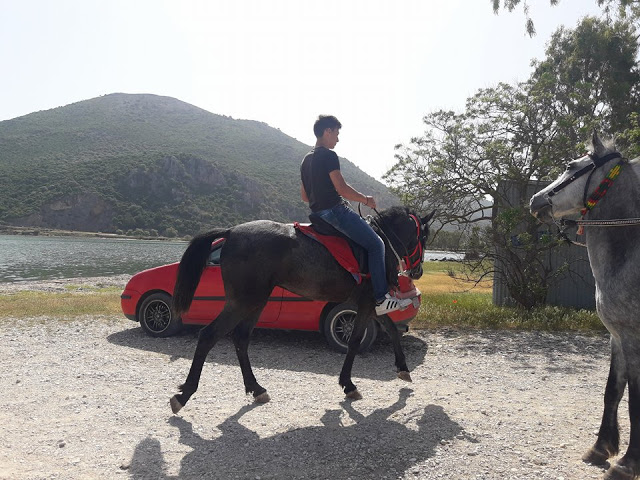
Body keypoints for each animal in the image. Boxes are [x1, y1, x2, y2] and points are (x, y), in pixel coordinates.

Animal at [169, 204, 436, 414]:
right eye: (423, 236)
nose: (418, 271)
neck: (382, 242)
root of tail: (231, 231)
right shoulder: (367, 301)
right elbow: (355, 340)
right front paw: (348, 384)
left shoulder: (370, 303)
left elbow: (391, 330)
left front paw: (402, 368)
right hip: (243, 301)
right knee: (208, 335)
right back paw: (184, 394)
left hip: (256, 301)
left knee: (241, 339)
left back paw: (256, 388)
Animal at [532, 131, 640, 480]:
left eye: (570, 165)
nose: (535, 199)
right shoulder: (617, 338)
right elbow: (612, 391)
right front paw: (601, 448)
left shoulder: (632, 338)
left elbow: (635, 400)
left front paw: (628, 463)